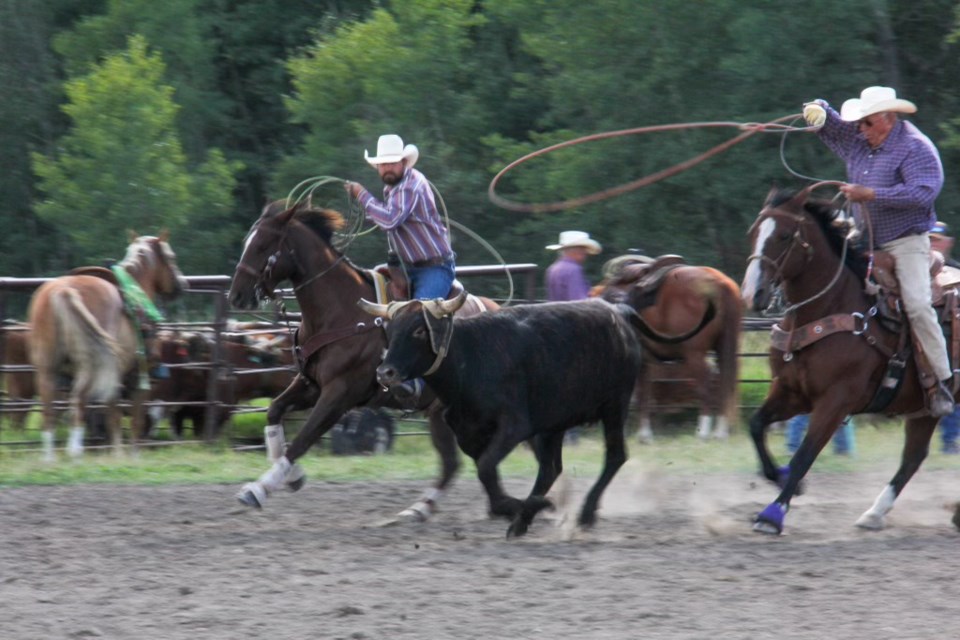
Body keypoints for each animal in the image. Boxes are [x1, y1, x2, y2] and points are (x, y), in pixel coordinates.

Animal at [26, 231, 188, 460]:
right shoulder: (139, 379)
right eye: (171, 257)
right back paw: (75, 452)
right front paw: (131, 455)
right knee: (79, 399)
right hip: (89, 365)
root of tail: (65, 289)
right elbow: (133, 419)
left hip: (47, 367)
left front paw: (117, 453)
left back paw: (49, 457)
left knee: (49, 407)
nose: (183, 284)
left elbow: (113, 416)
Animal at [226, 200, 496, 520]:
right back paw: (419, 509)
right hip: (441, 413)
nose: (236, 295)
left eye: (263, 245)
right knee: (453, 462)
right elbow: (274, 412)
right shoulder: (311, 385)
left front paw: (256, 490)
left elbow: (302, 439)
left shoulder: (339, 394)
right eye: (247, 242)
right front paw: (293, 477)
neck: (339, 312)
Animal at [740, 186, 956, 536]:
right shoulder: (791, 392)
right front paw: (784, 480)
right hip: (924, 409)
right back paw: (875, 513)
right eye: (754, 233)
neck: (829, 307)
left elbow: (805, 454)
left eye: (784, 236)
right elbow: (757, 425)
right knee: (913, 456)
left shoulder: (835, 400)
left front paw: (772, 514)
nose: (751, 293)